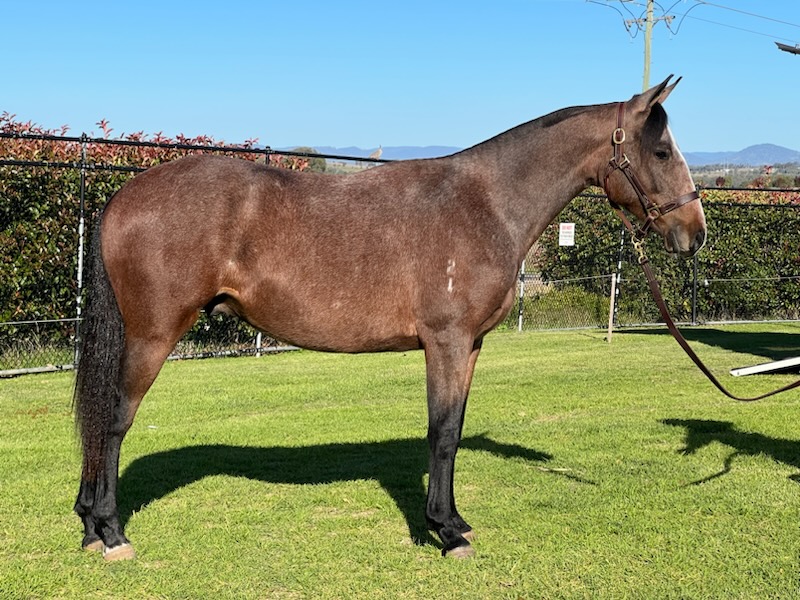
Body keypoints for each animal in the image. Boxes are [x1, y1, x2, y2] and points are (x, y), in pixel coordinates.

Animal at [73, 75, 706, 561]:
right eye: (661, 151)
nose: (694, 234)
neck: (486, 204)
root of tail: (126, 197)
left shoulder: (470, 346)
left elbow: (452, 431)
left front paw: (454, 520)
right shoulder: (446, 342)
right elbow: (442, 432)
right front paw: (446, 533)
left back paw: (88, 526)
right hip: (152, 336)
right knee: (113, 422)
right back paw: (112, 534)